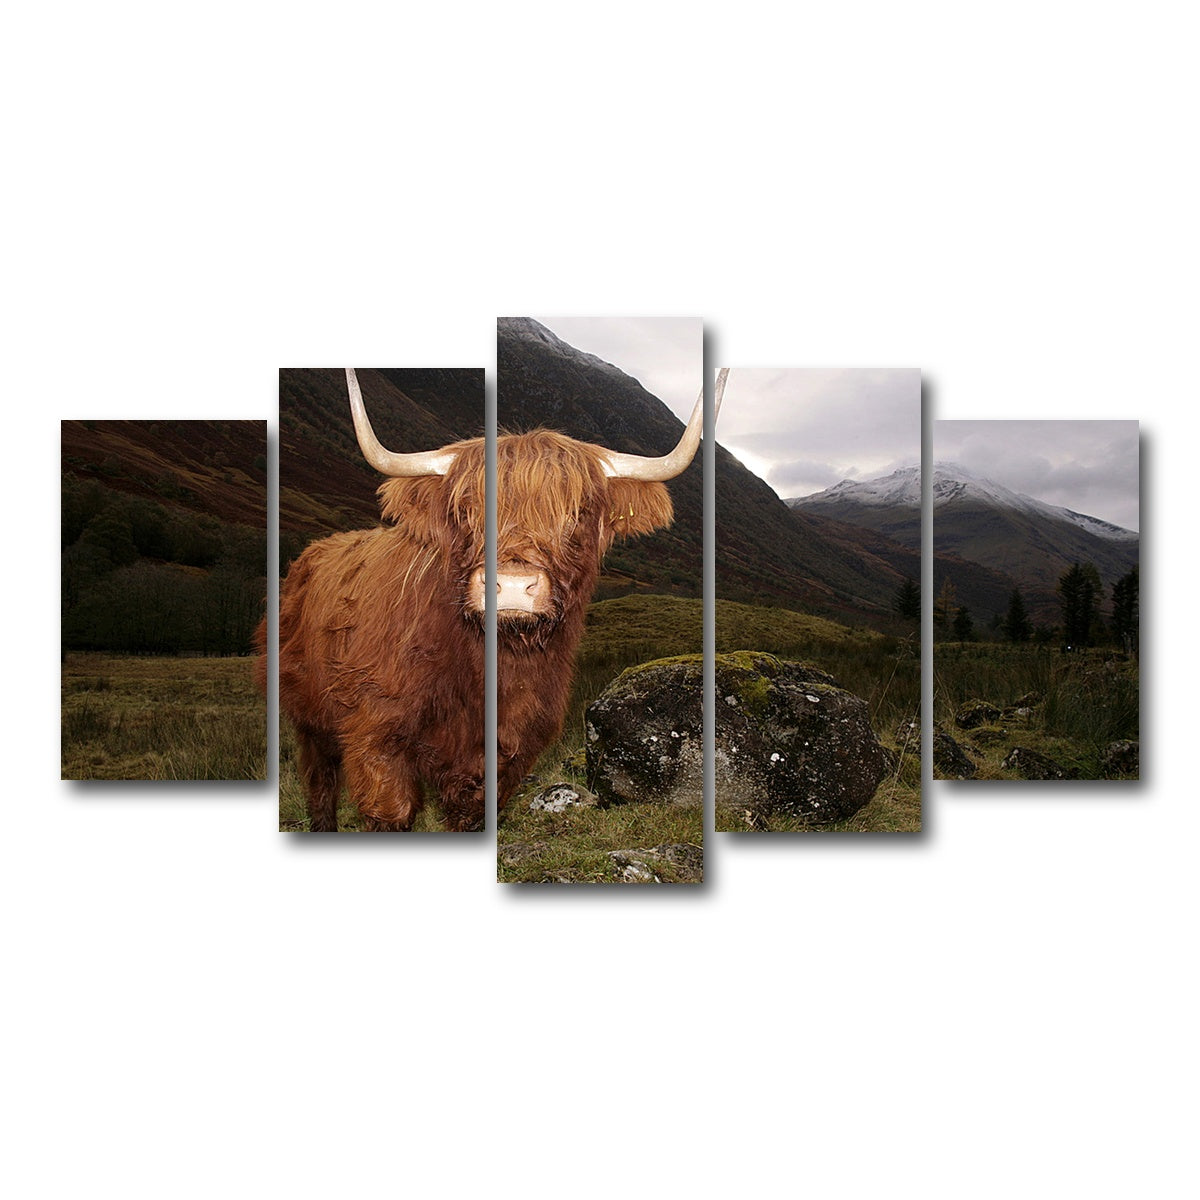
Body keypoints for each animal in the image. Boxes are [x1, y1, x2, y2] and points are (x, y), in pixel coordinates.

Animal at [262, 366, 723, 832]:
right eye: (465, 510)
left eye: (577, 513)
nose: (513, 586)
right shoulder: (375, 739)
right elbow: (390, 812)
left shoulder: (506, 755)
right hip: (309, 719)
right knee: (319, 784)